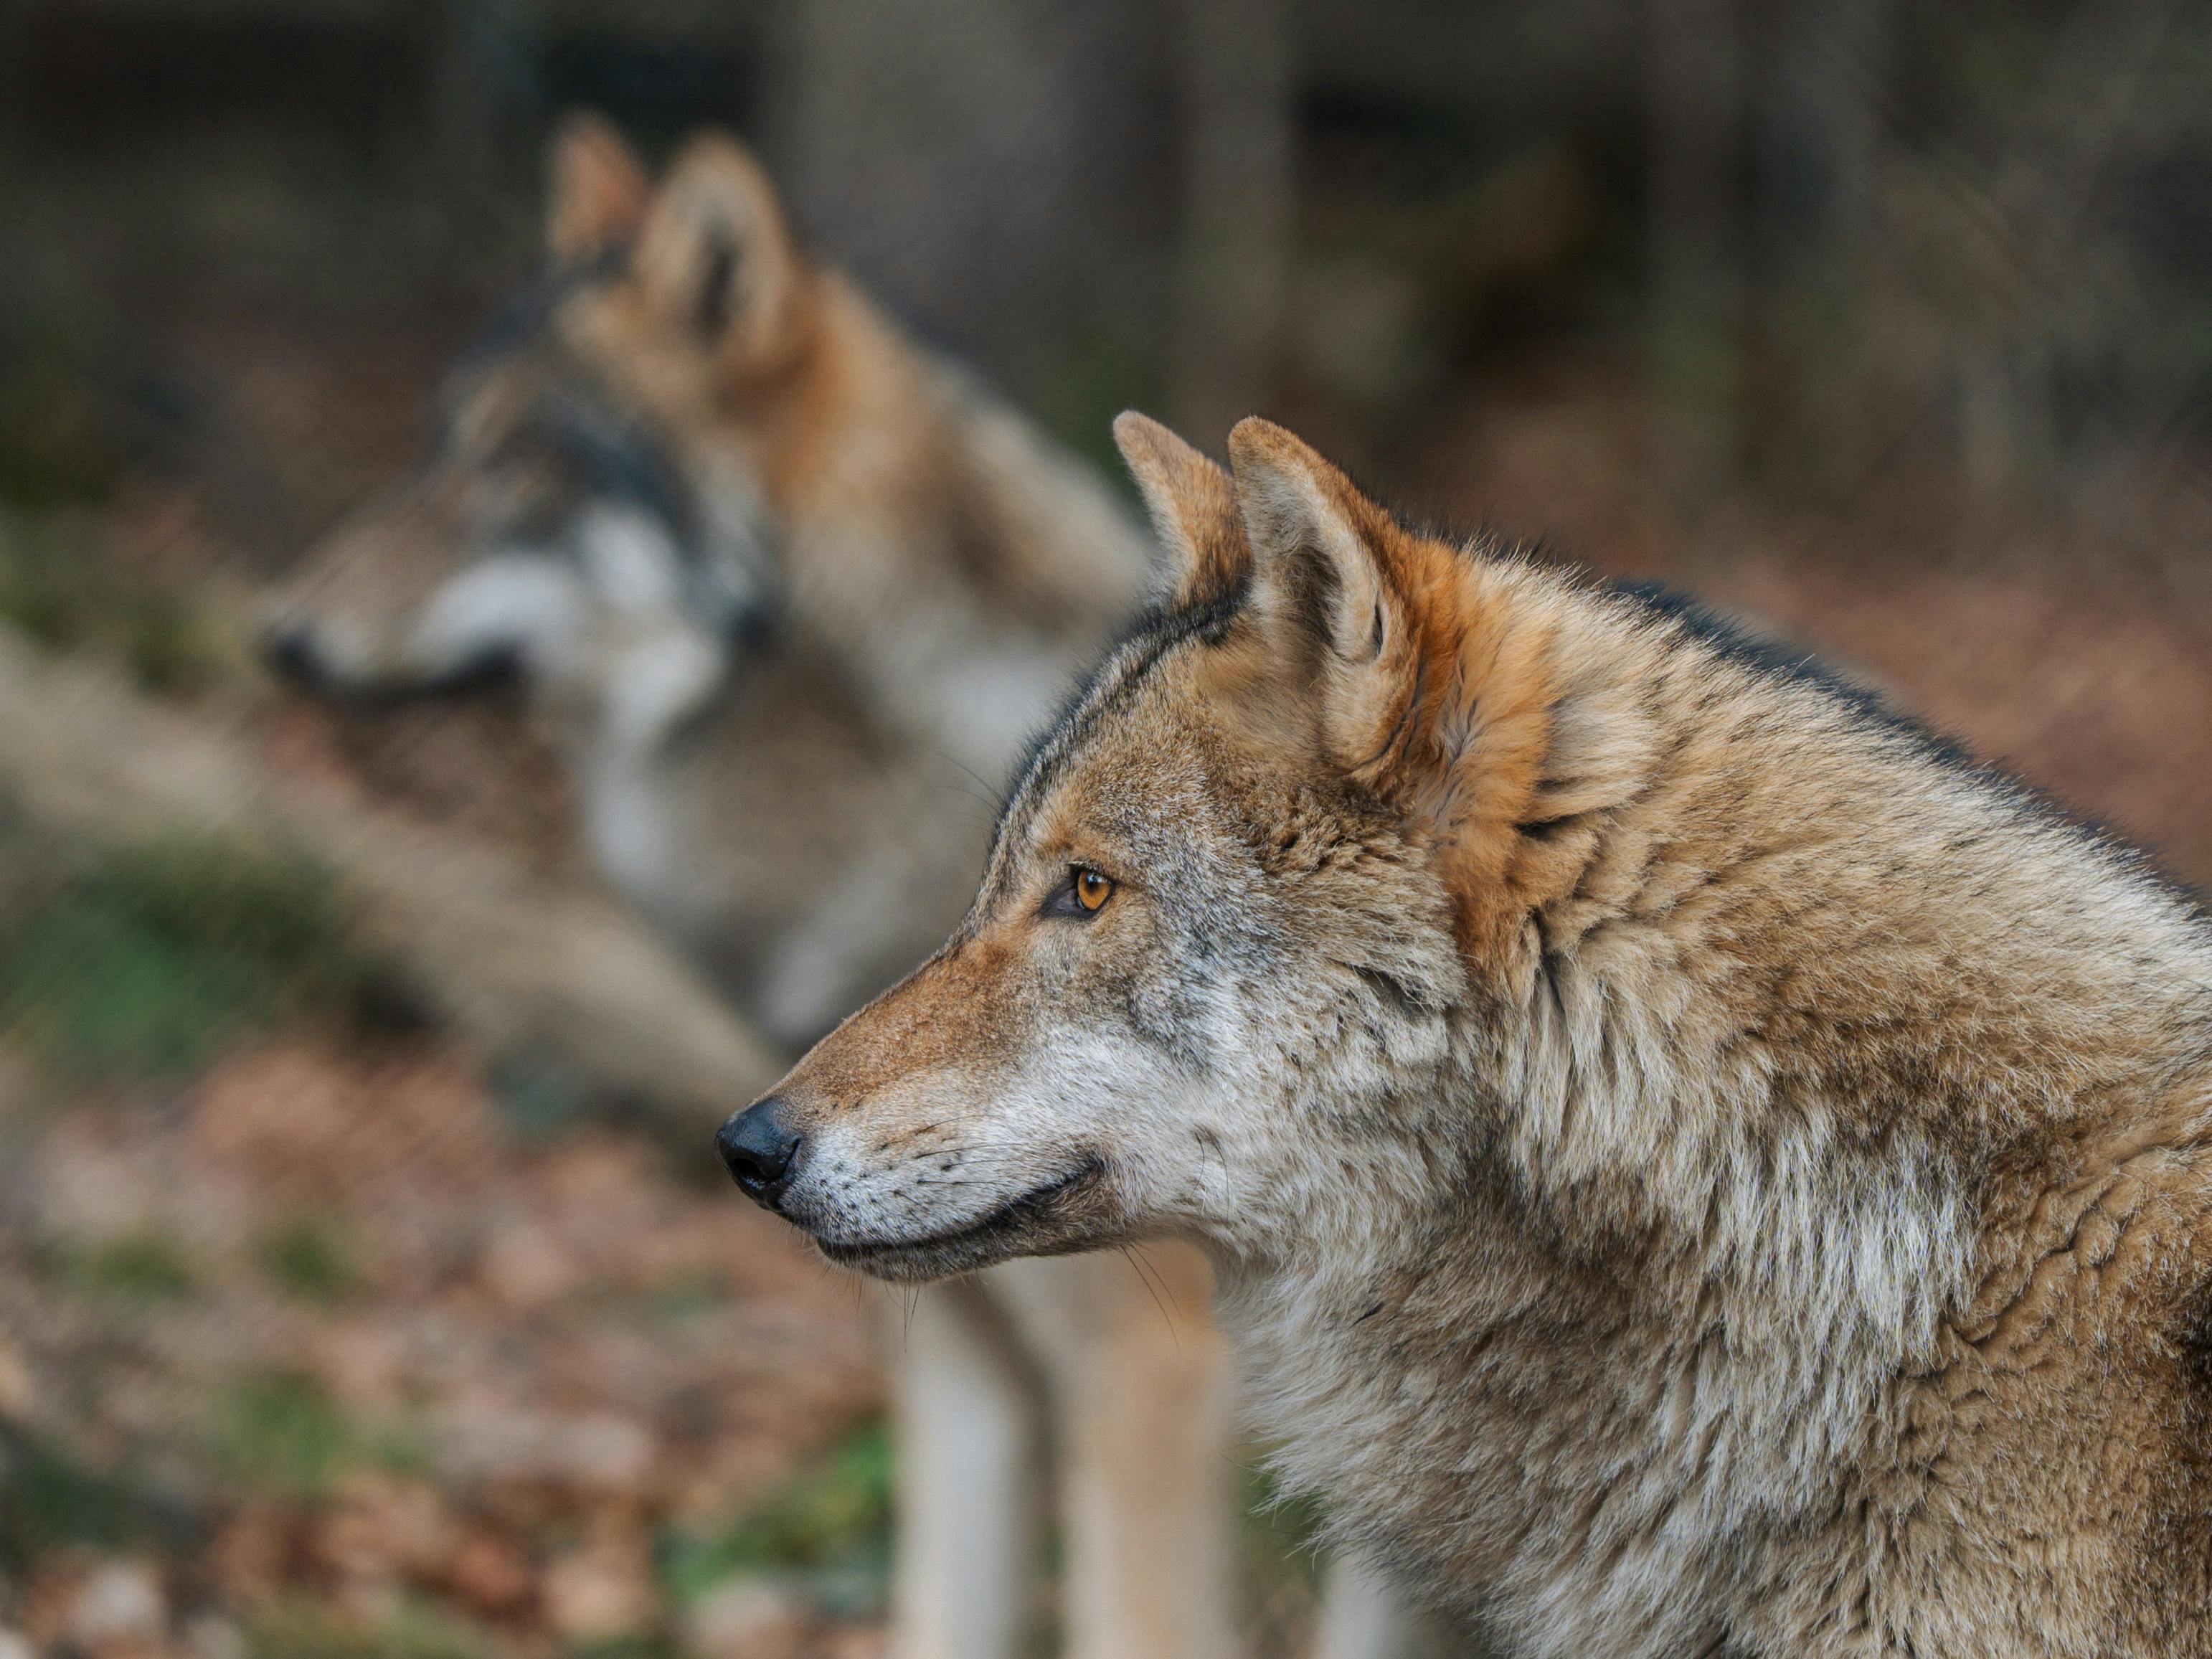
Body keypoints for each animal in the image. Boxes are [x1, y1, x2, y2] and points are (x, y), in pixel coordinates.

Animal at [267, 122, 1416, 1659]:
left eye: (519, 465)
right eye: (439, 448)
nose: (281, 635)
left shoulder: (1148, 1372)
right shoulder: (958, 1354)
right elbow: (940, 1604)